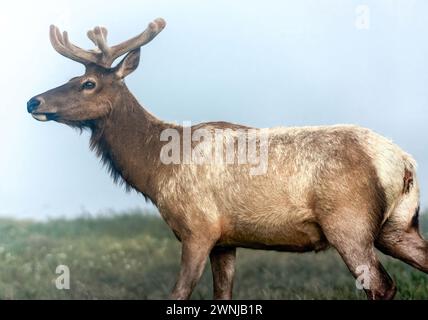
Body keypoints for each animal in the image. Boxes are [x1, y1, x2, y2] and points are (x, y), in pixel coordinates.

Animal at [28, 17, 426, 298]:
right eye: (73, 77)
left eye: (88, 84)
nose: (34, 101)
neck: (156, 170)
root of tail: (403, 162)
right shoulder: (225, 240)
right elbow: (223, 293)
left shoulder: (198, 227)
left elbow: (179, 293)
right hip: (399, 225)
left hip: (348, 221)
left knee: (383, 286)